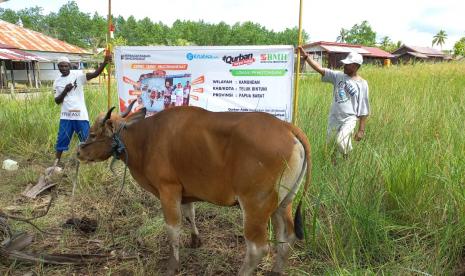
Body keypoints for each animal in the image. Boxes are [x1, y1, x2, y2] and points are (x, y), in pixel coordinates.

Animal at [77, 104, 312, 276]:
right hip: (283, 202)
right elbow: (190, 213)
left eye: (92, 134)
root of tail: (287, 128)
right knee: (287, 236)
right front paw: (195, 240)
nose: (79, 151)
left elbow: (173, 228)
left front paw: (173, 265)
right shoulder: (183, 190)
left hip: (255, 204)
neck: (146, 139)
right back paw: (277, 271)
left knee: (258, 248)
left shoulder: (168, 189)